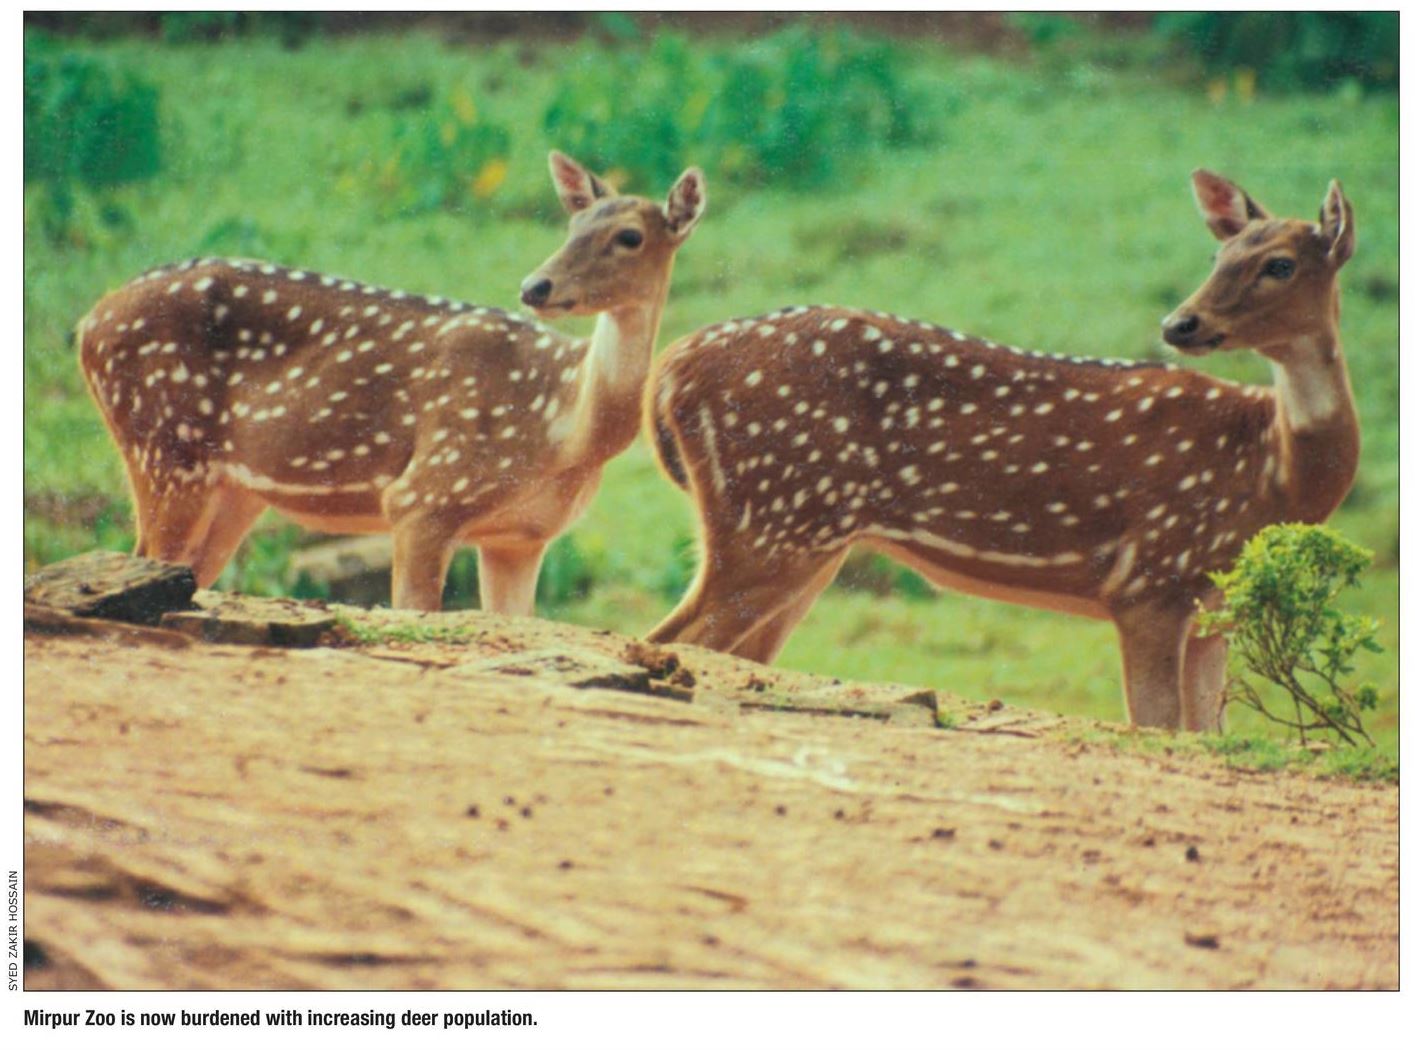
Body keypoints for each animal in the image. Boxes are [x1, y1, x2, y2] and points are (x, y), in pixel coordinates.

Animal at [77, 151, 706, 613]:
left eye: (629, 236)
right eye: (572, 224)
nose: (536, 286)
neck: (564, 433)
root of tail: (87, 324)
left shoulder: (521, 538)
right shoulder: (425, 495)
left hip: (232, 490)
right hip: (165, 446)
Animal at [645, 171, 1358, 731]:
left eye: (1280, 263)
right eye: (1218, 257)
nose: (1180, 324)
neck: (1271, 472)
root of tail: (670, 372)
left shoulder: (1215, 611)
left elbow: (1203, 732)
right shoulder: (1151, 577)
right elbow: (1156, 724)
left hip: (805, 538)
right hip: (771, 520)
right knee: (676, 638)